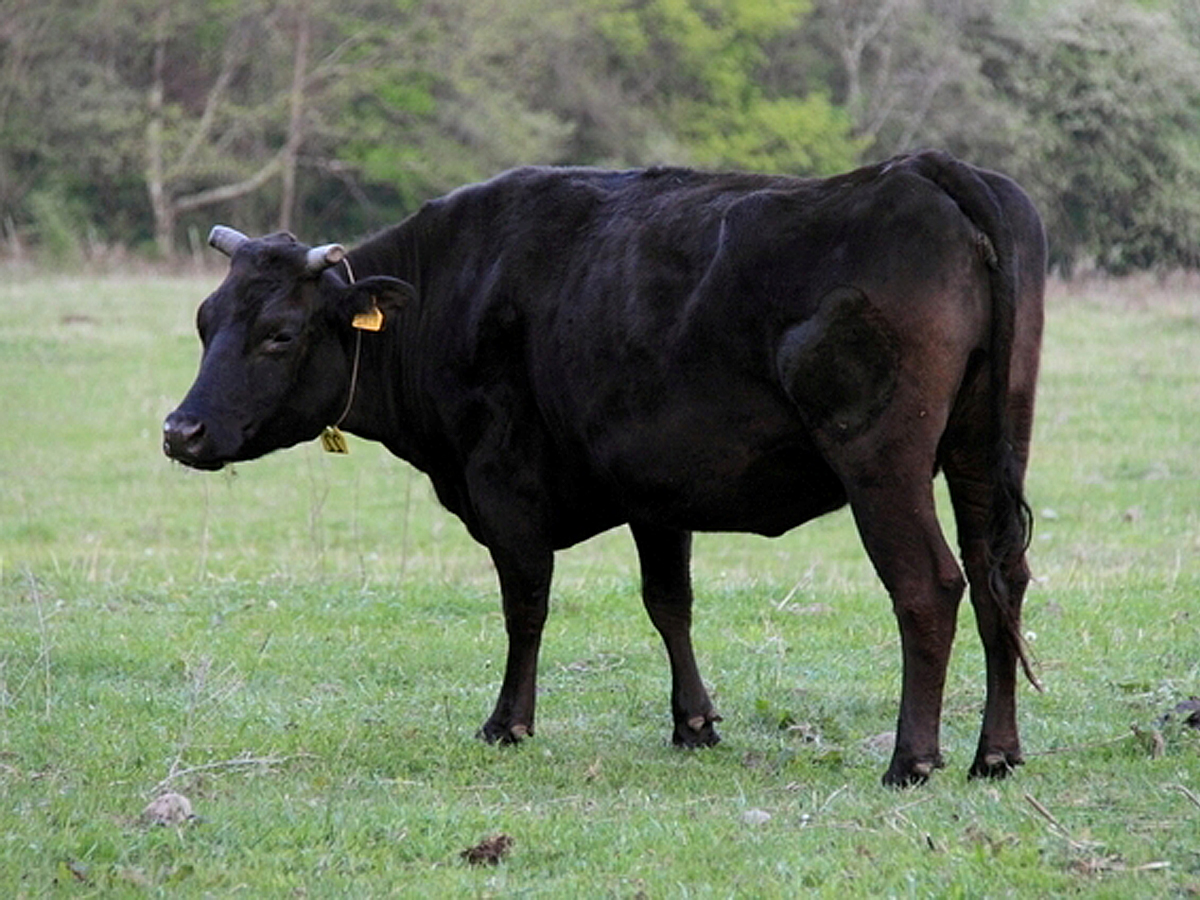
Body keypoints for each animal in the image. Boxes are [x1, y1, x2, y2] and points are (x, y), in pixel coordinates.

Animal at [164, 151, 1046, 787]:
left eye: (279, 333)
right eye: (205, 320)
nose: (181, 430)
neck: (454, 287)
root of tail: (922, 170)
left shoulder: (504, 486)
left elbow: (526, 606)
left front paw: (507, 723)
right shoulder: (659, 489)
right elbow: (669, 604)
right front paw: (694, 724)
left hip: (882, 460)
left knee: (929, 587)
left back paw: (912, 760)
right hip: (984, 445)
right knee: (999, 575)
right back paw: (995, 754)